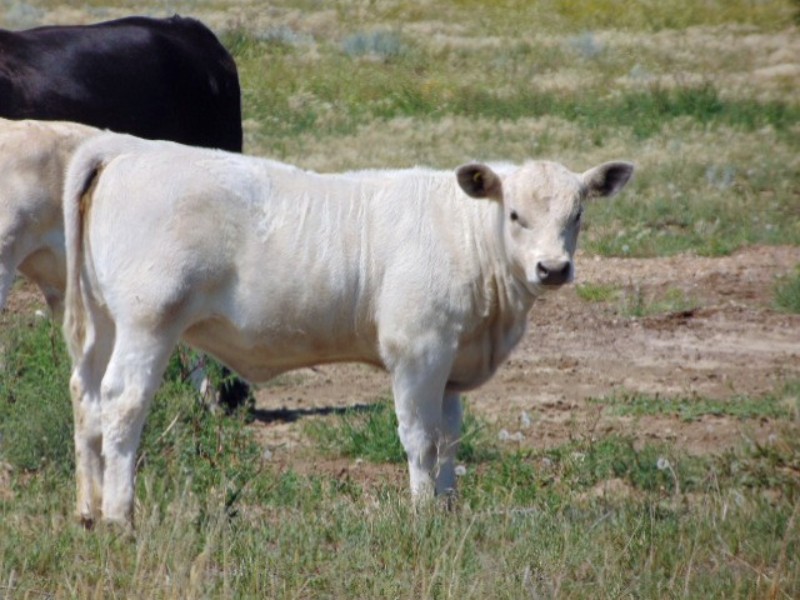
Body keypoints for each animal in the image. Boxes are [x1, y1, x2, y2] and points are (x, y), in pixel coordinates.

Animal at [62, 133, 633, 527]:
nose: (553, 268)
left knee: (86, 396)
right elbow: (421, 438)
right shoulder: (419, 350)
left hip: (104, 323)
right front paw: (423, 514)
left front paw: (449, 509)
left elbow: (450, 438)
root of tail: (128, 148)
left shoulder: (451, 362)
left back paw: (89, 511)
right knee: (123, 402)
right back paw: (120, 517)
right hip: (148, 322)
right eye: (515, 215)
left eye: (577, 215)